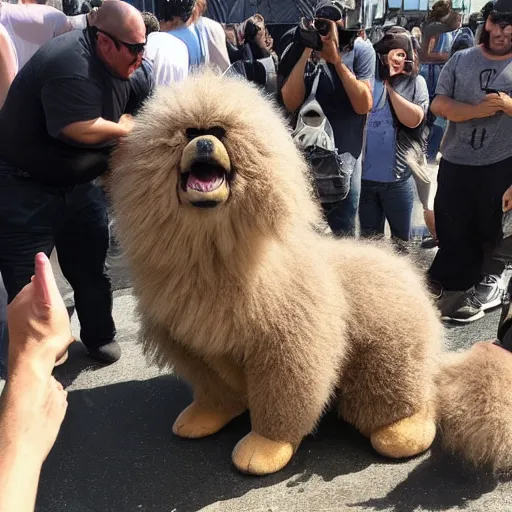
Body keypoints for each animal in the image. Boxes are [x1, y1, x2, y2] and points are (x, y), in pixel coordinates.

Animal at [110, 71, 512, 476]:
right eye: (190, 132)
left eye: (220, 132)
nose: (205, 143)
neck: (214, 255)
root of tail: (409, 276)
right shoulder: (192, 343)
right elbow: (215, 391)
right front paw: (204, 417)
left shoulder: (288, 344)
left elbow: (282, 403)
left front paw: (263, 448)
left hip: (390, 354)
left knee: (412, 400)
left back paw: (401, 431)